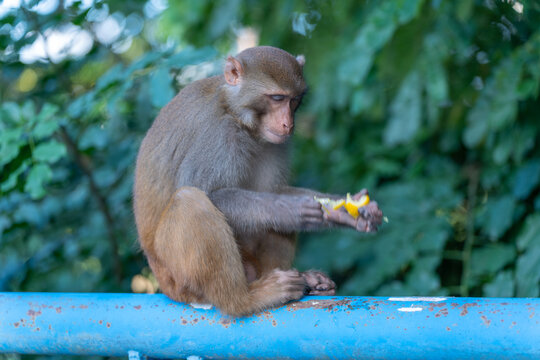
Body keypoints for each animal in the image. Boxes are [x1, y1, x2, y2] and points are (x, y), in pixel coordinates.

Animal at [133, 46, 382, 316]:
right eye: (276, 98)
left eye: (294, 99)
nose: (288, 123)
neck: (239, 116)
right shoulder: (219, 133)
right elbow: (206, 190)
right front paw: (288, 209)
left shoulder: (274, 143)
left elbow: (271, 190)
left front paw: (344, 212)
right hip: (177, 279)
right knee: (189, 200)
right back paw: (245, 300)